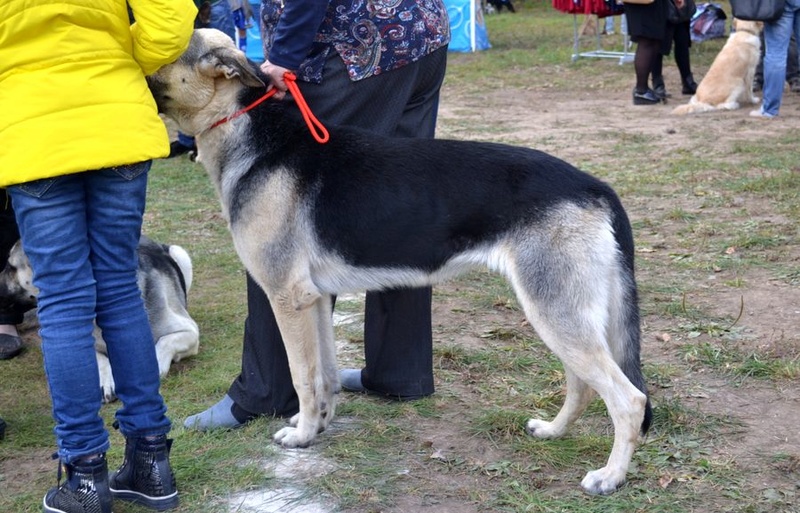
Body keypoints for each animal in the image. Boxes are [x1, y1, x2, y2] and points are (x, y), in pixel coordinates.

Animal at [0, 235, 199, 400]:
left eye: (11, 267)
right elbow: (99, 358)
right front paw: (106, 380)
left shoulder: (190, 332)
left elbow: (165, 341)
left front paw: (155, 363)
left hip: (180, 254)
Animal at [147, 29, 652, 496]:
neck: (251, 132)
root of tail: (595, 186)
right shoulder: (317, 300)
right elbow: (325, 374)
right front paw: (321, 423)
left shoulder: (287, 300)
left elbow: (302, 375)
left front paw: (303, 434)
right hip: (565, 316)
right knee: (584, 385)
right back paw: (554, 431)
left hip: (555, 314)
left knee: (628, 399)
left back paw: (610, 477)